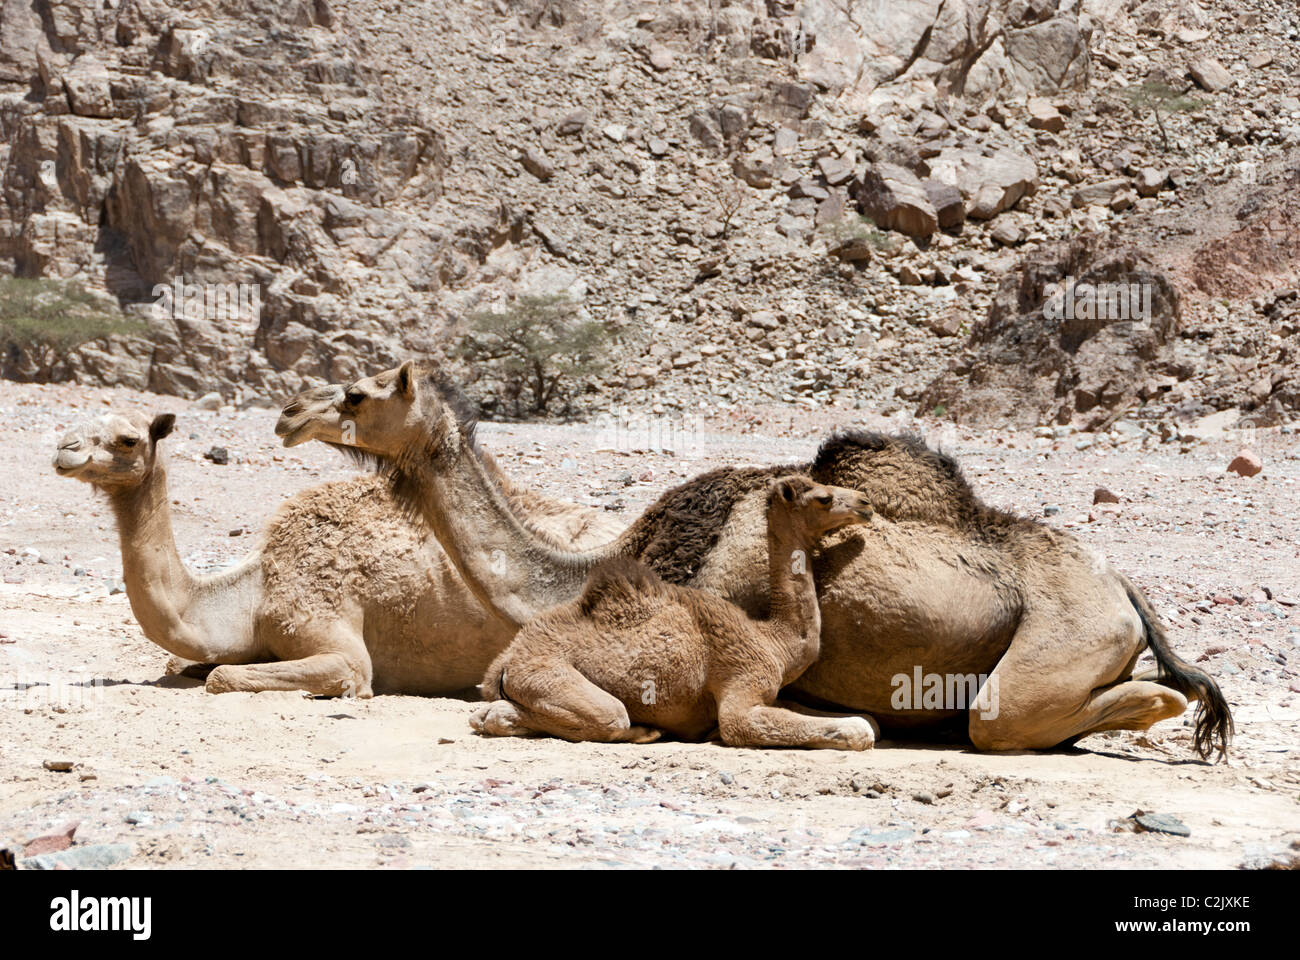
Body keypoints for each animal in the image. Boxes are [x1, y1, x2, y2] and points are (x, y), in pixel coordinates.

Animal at [59, 398, 624, 697]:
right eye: (80, 426)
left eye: (128, 439)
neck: (253, 594)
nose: (64, 449)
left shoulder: (331, 631)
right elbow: (195, 666)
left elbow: (222, 675)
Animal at [473, 470, 878, 749]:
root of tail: (504, 664)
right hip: (546, 674)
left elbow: (869, 718)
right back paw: (646, 730)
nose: (865, 502)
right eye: (824, 497)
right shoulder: (741, 679)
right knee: (608, 717)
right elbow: (744, 724)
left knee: (491, 713)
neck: (774, 642)